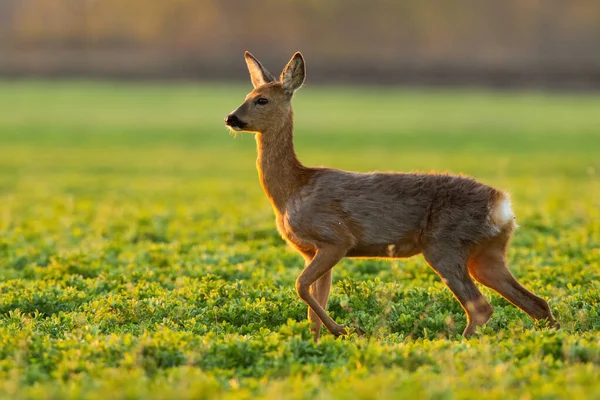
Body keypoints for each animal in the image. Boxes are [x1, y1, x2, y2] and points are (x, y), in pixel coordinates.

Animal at [223, 50, 560, 340]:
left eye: (262, 100)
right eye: (246, 97)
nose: (230, 118)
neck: (293, 189)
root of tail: (502, 204)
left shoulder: (335, 238)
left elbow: (300, 286)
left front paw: (345, 329)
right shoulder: (311, 249)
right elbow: (312, 307)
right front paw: (321, 341)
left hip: (444, 243)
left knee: (481, 307)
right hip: (486, 254)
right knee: (537, 303)